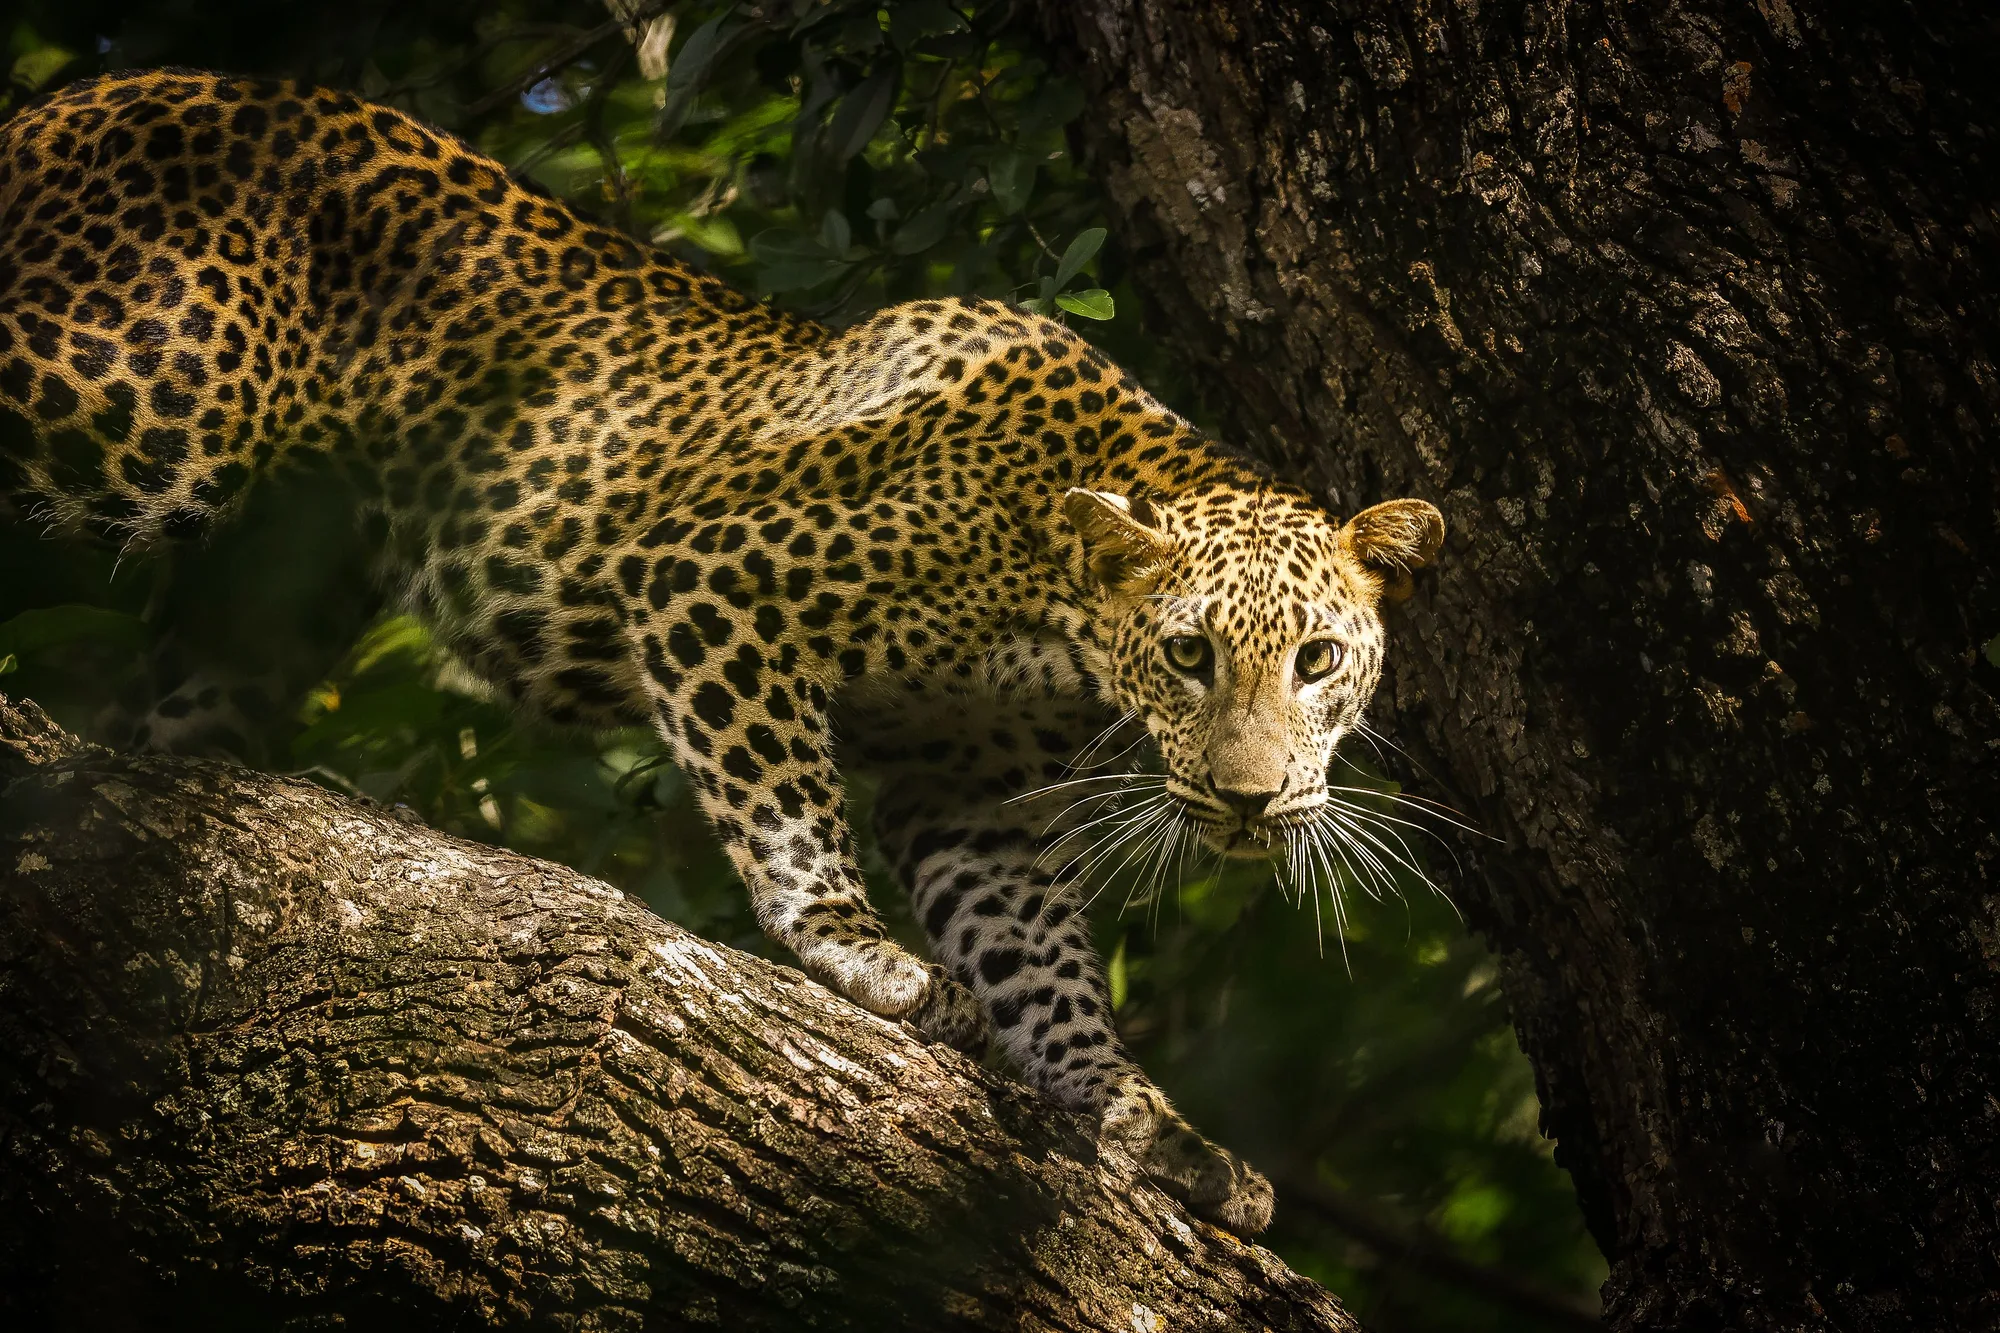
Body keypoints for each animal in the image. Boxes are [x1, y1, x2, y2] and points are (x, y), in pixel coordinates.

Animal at [0, 68, 1445, 1237]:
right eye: (1191, 655)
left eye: (1318, 661)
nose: (1252, 801)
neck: (1057, 612)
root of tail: (82, 98)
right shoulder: (712, 581)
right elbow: (788, 808)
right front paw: (858, 951)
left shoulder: (965, 785)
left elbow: (1040, 962)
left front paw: (1146, 1121)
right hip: (121, 389)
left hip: (264, 591)